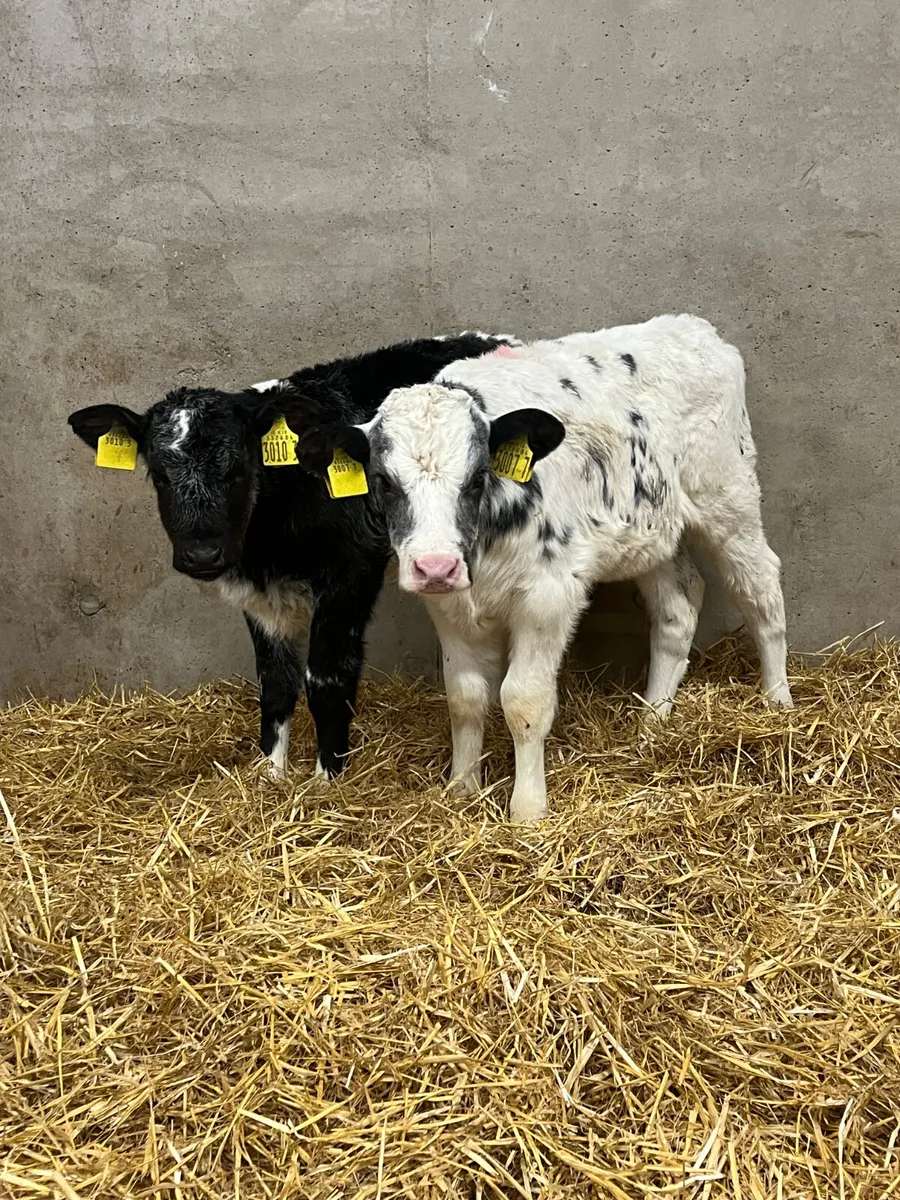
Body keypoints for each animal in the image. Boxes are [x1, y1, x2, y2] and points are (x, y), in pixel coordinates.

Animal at [68, 332, 518, 780]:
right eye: (159, 476)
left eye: (237, 470)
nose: (202, 554)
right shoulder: (259, 592)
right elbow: (275, 683)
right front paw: (271, 773)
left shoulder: (353, 569)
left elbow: (326, 677)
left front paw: (327, 777)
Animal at [294, 315, 794, 822]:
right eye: (382, 482)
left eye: (477, 478)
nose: (436, 566)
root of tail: (694, 328)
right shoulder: (451, 606)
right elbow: (465, 696)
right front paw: (461, 788)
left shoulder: (548, 597)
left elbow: (523, 700)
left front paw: (528, 809)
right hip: (652, 532)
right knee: (679, 608)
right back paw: (652, 722)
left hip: (728, 500)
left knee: (761, 592)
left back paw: (777, 702)